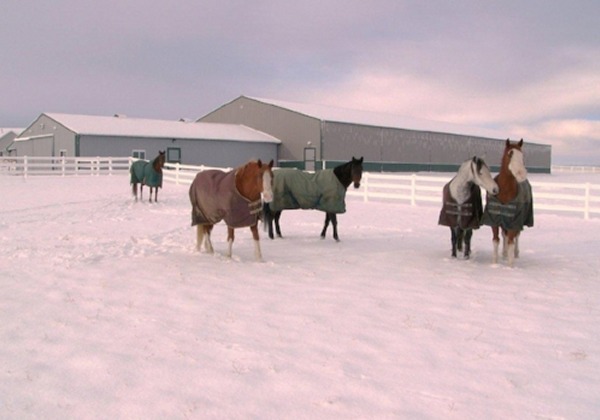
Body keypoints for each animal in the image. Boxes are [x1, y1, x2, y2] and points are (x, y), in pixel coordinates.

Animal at [482, 139, 536, 268]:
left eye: (522, 155)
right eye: (510, 154)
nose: (521, 174)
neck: (505, 192)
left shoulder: (514, 221)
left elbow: (511, 241)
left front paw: (510, 267)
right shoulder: (494, 220)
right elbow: (496, 240)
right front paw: (495, 264)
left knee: (516, 237)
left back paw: (515, 254)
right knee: (504, 235)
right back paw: (504, 253)